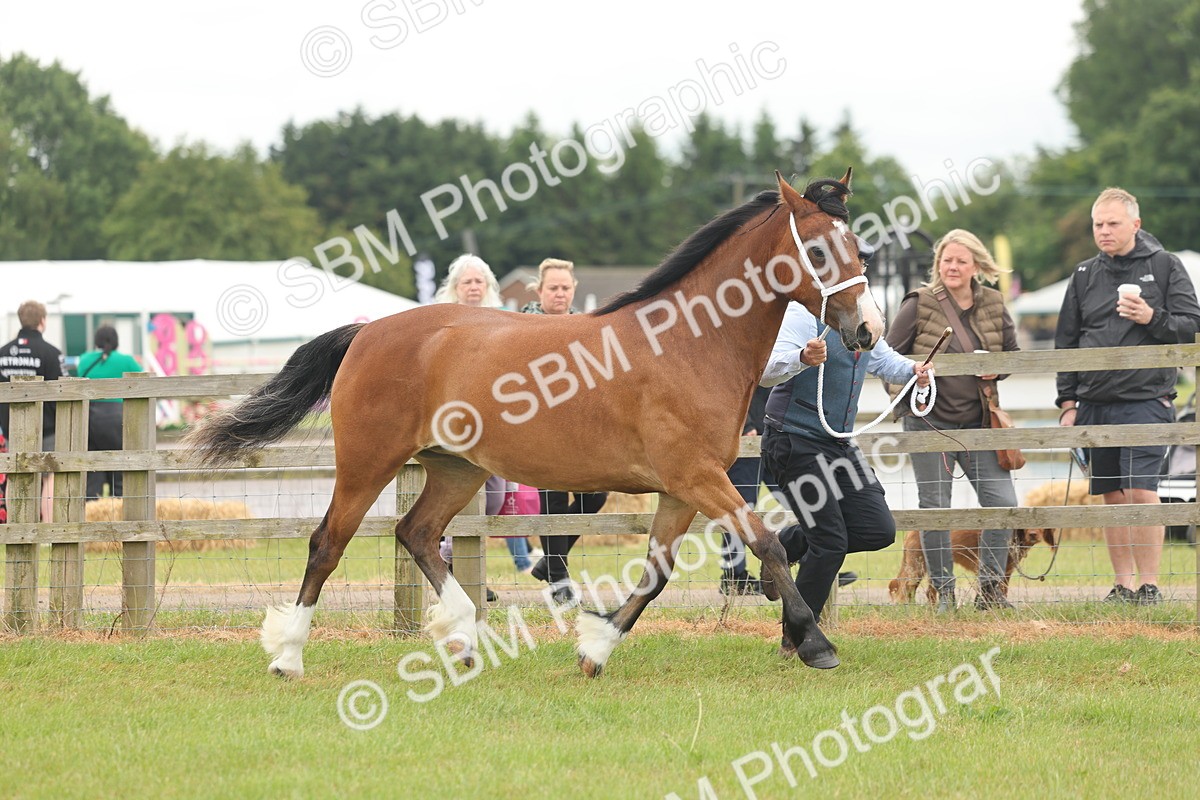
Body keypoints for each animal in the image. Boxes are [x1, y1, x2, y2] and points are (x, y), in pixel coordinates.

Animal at [186, 169, 883, 679]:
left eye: (859, 248)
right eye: (816, 249)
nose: (866, 331)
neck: (687, 343)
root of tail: (368, 331)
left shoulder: (683, 488)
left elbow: (656, 574)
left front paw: (594, 651)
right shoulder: (697, 477)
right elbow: (766, 544)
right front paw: (815, 642)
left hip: (456, 470)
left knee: (416, 534)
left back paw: (463, 638)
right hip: (366, 463)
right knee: (327, 544)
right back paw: (289, 657)